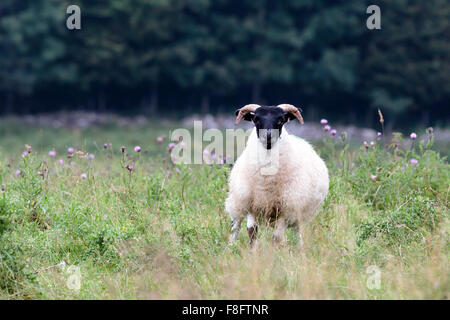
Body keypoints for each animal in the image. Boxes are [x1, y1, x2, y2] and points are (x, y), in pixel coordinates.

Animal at [227, 104, 328, 246]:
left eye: (281, 120)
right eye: (256, 119)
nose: (268, 135)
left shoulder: (285, 211)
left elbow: (277, 237)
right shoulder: (252, 206)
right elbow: (252, 233)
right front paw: (253, 251)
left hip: (298, 212)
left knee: (297, 233)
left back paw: (300, 248)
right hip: (238, 202)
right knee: (235, 227)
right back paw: (230, 247)